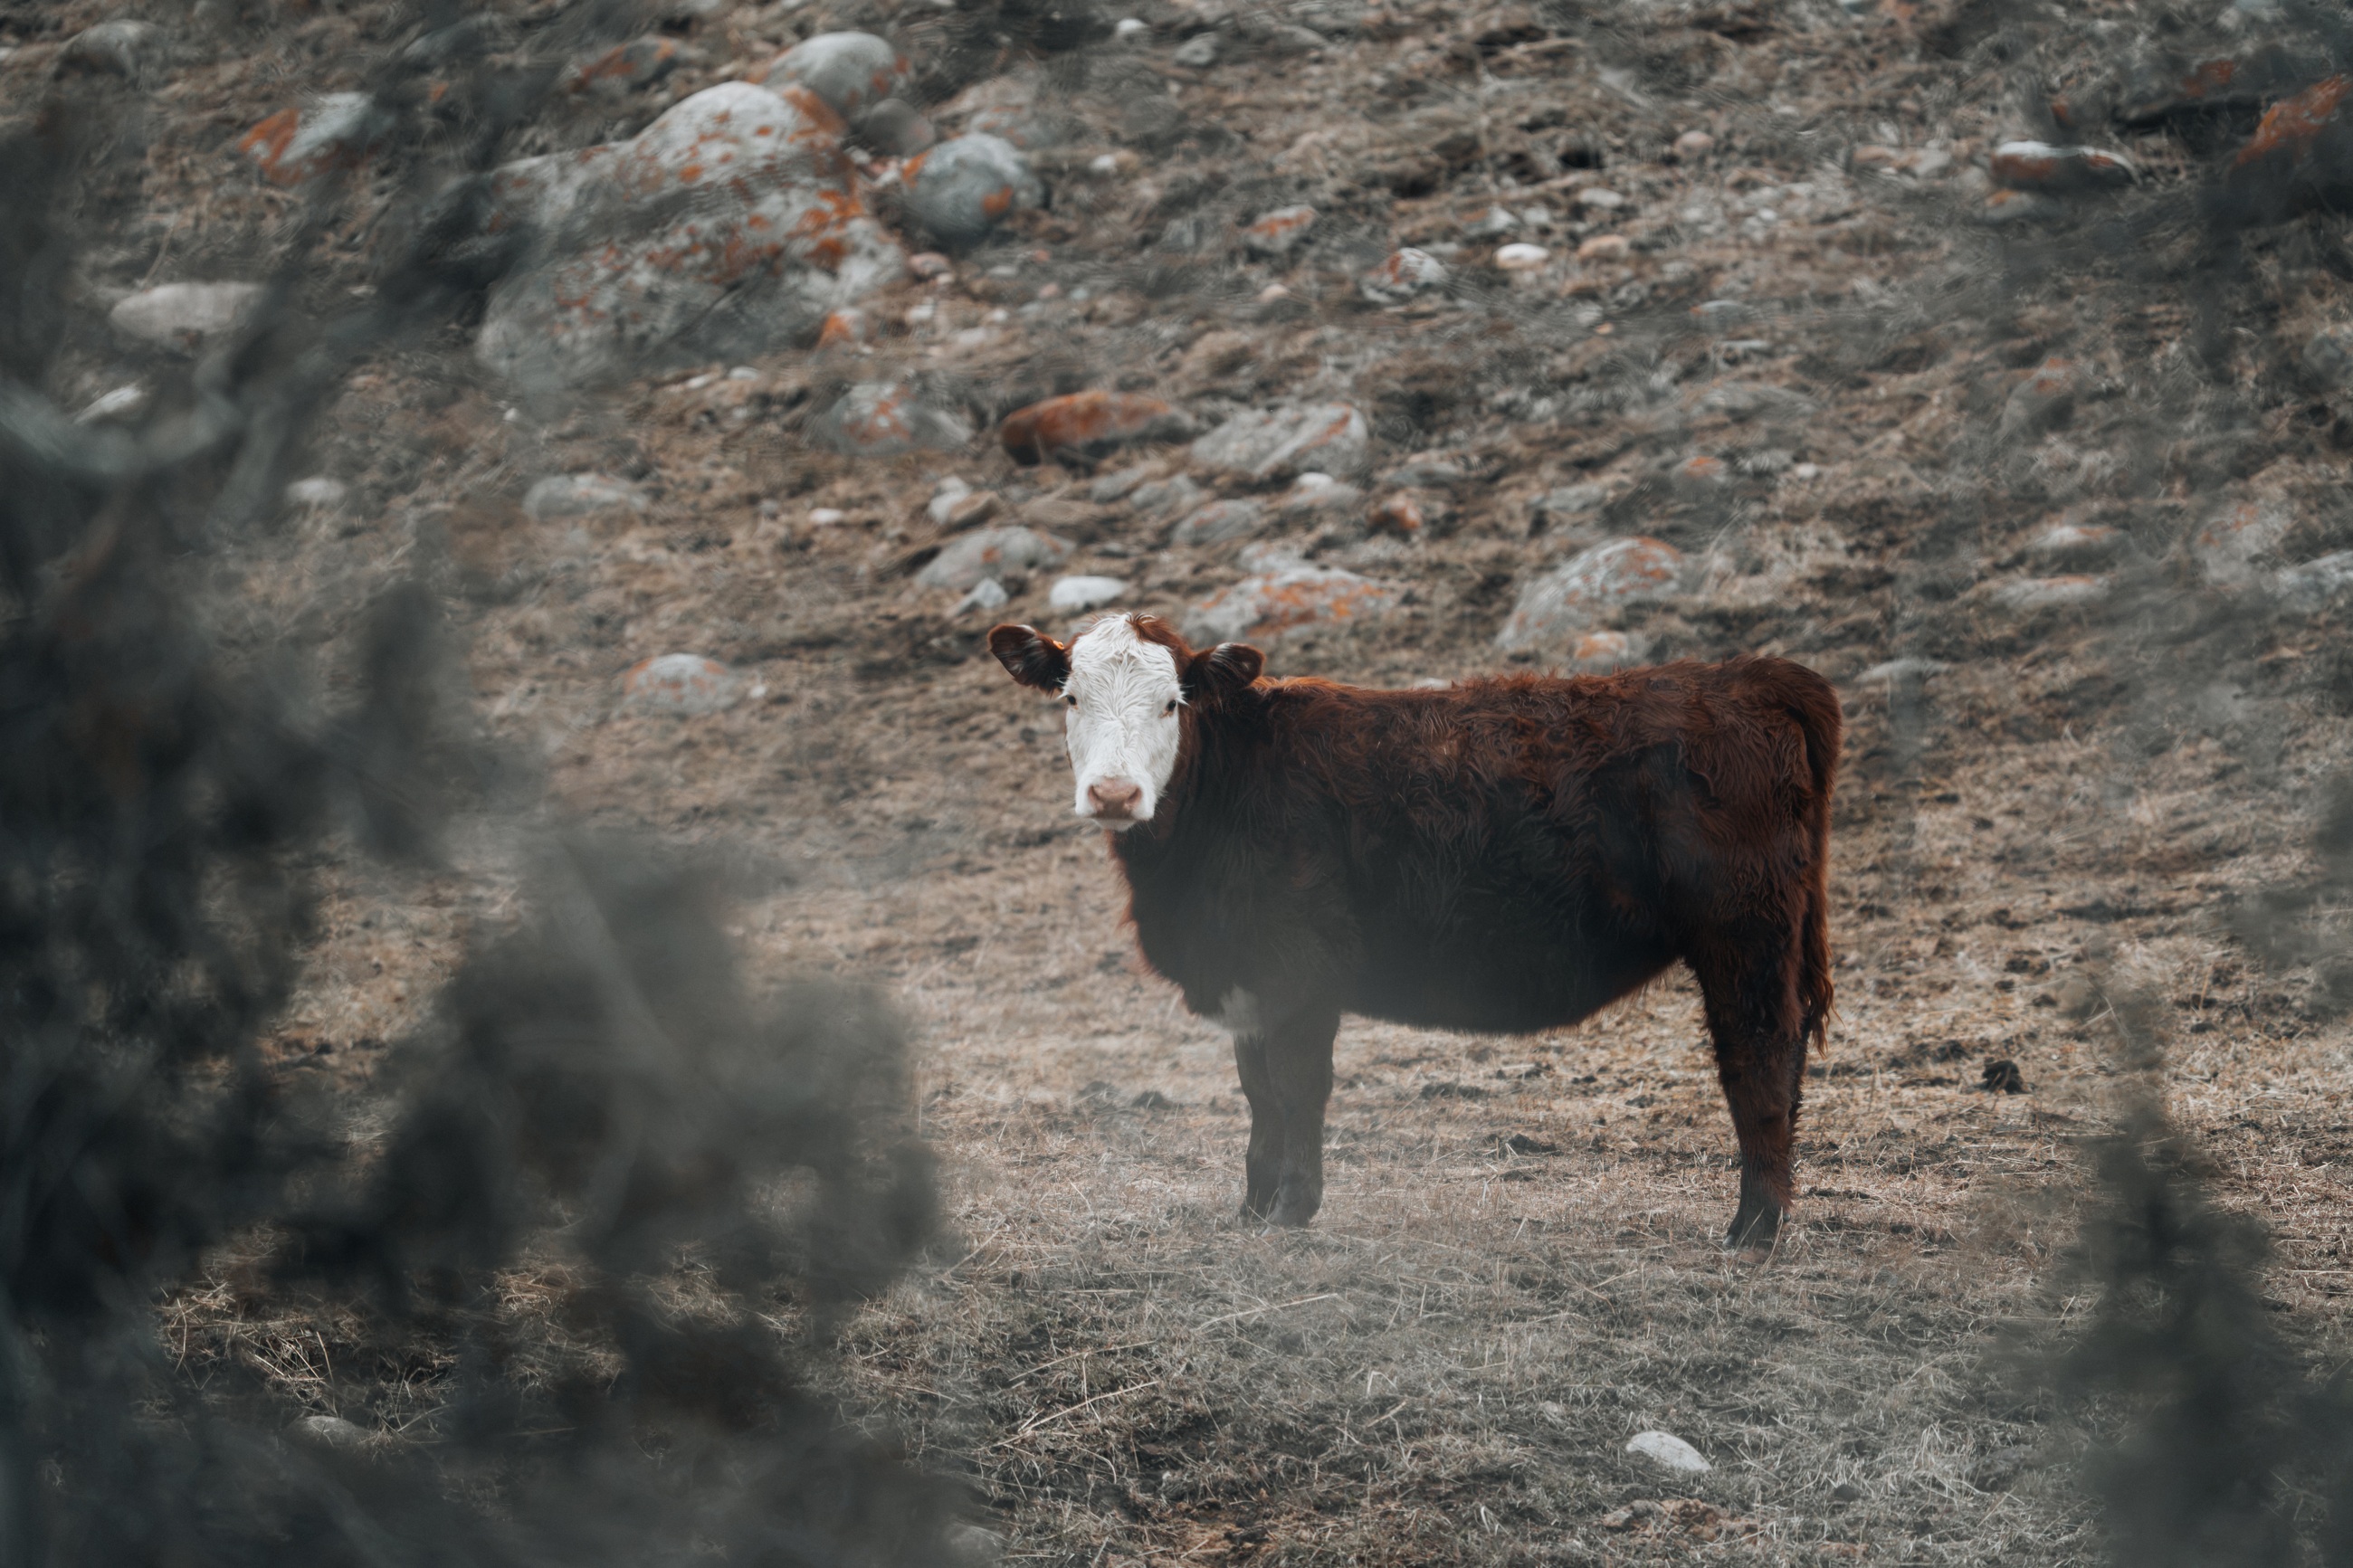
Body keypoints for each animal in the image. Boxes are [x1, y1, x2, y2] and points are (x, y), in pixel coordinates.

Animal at [986, 613, 1841, 1254]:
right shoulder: (1250, 981)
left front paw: (1292, 1207)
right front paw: (1253, 1206)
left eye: (1173, 702)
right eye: (1070, 697)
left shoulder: (1299, 972)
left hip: (1744, 937)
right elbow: (1257, 1091)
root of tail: (1748, 676)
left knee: (1757, 1059)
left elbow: (1296, 1087)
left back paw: (1753, 1229)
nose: (1113, 793)